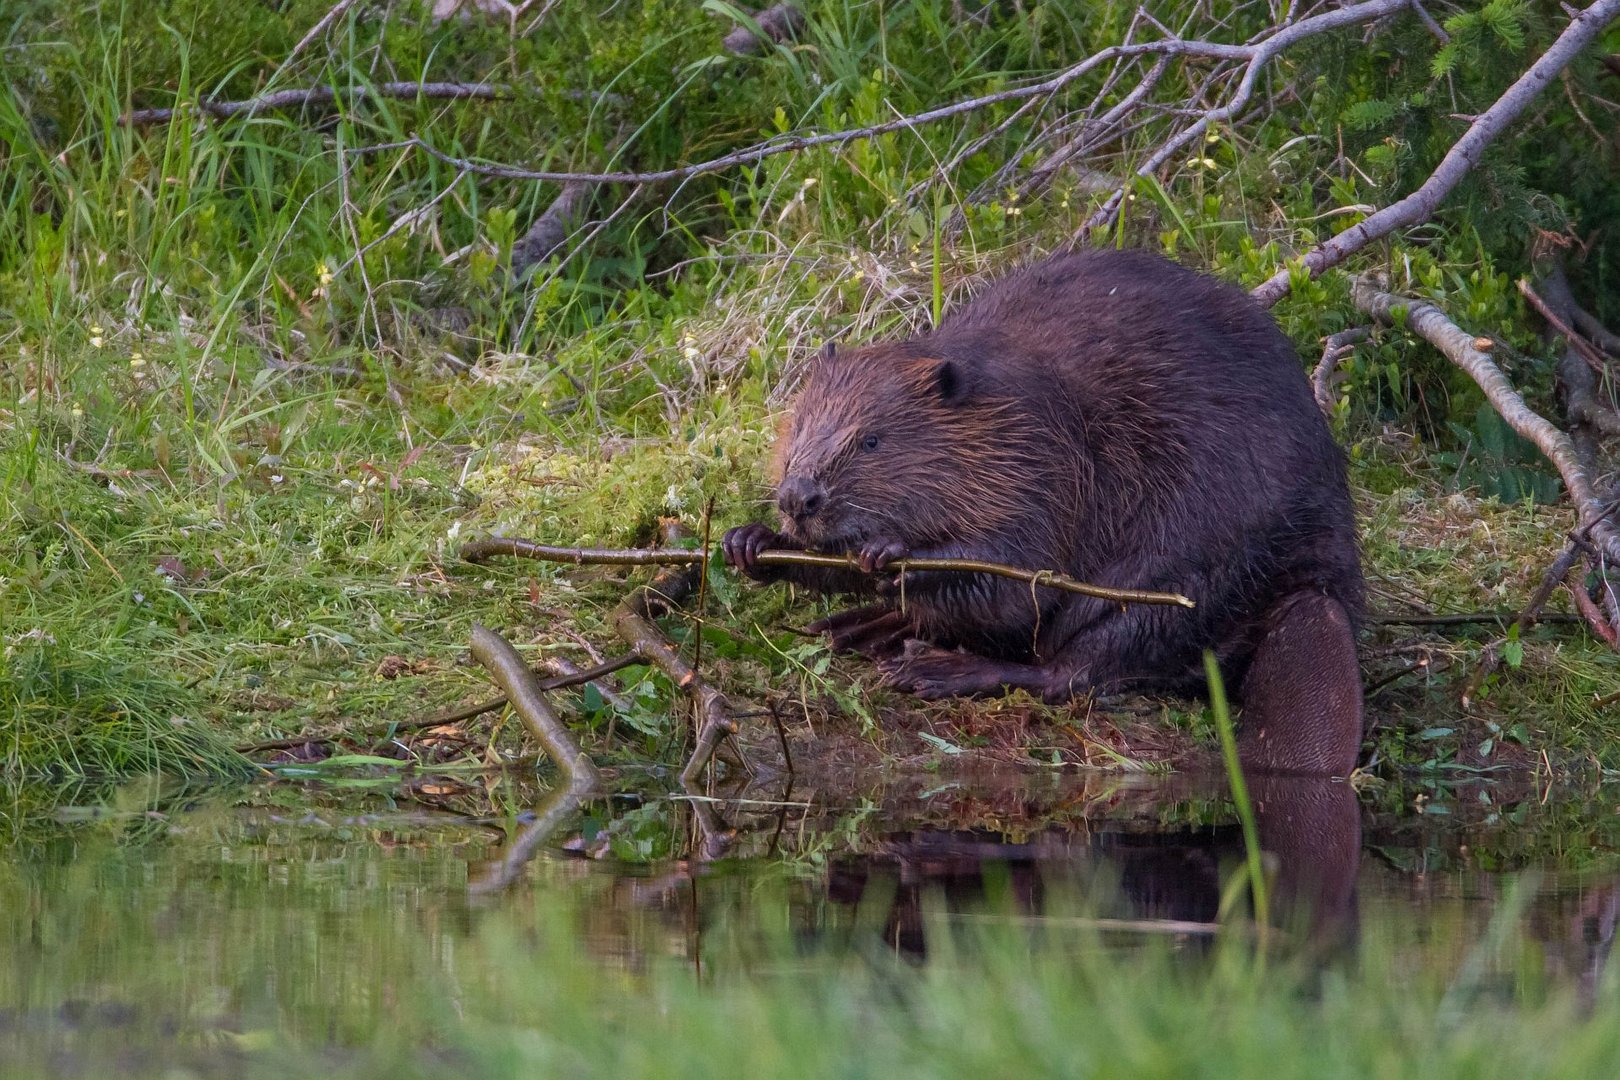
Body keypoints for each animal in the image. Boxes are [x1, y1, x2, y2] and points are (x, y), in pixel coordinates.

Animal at [725, 250, 1367, 777]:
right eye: (800, 426)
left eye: (871, 441)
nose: (798, 497)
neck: (1004, 404)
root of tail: (1320, 593)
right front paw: (749, 542)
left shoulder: (1042, 462)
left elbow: (1019, 571)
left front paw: (891, 554)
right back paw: (863, 628)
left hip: (1189, 570)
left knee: (1078, 668)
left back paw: (930, 668)